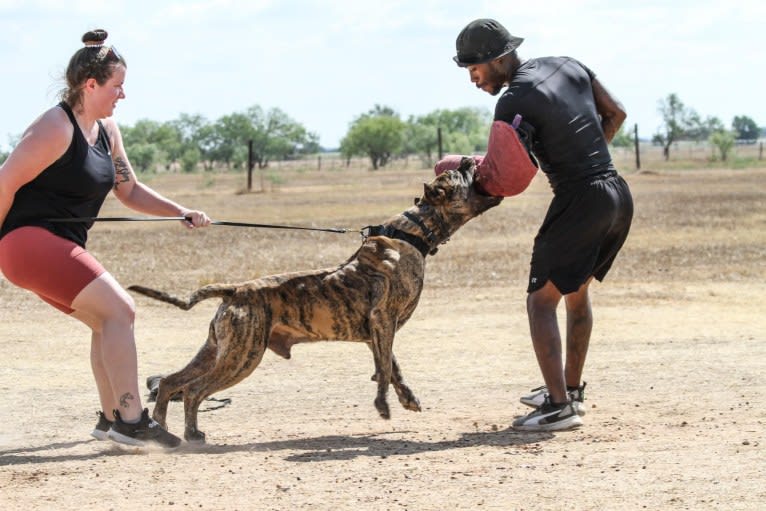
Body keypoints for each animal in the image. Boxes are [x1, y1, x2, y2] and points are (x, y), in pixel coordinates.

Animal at [130, 159, 504, 444]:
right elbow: (385, 369)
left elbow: (390, 365)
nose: (467, 159)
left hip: (217, 350)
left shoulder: (378, 331)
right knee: (193, 390)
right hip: (242, 356)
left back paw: (164, 429)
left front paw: (405, 398)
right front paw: (383, 405)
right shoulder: (383, 321)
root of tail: (236, 290)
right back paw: (192, 434)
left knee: (170, 382)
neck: (411, 233)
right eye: (458, 175)